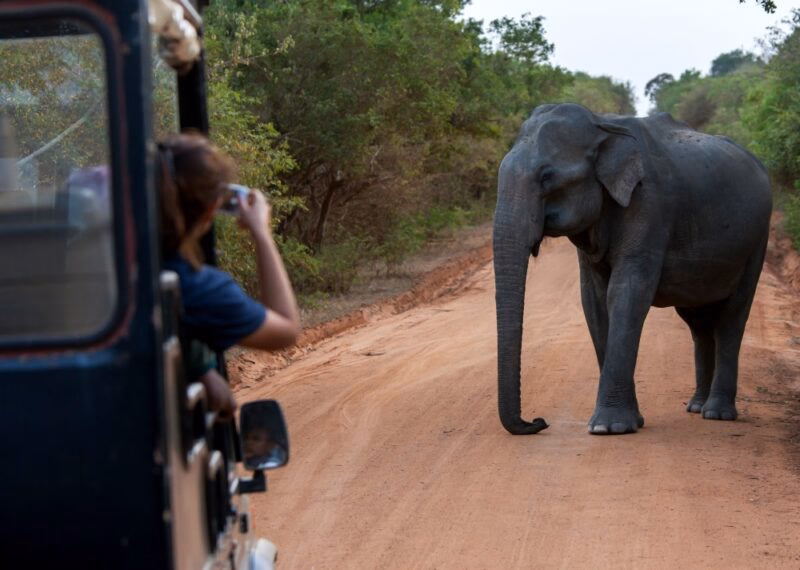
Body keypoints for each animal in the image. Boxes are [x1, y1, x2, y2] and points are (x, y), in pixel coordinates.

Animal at [493, 103, 772, 435]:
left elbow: (626, 293)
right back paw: (696, 406)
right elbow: (595, 300)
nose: (539, 421)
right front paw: (627, 423)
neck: (602, 127)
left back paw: (717, 414)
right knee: (697, 322)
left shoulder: (649, 205)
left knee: (732, 315)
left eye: (547, 177)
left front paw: (609, 428)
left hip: (757, 239)